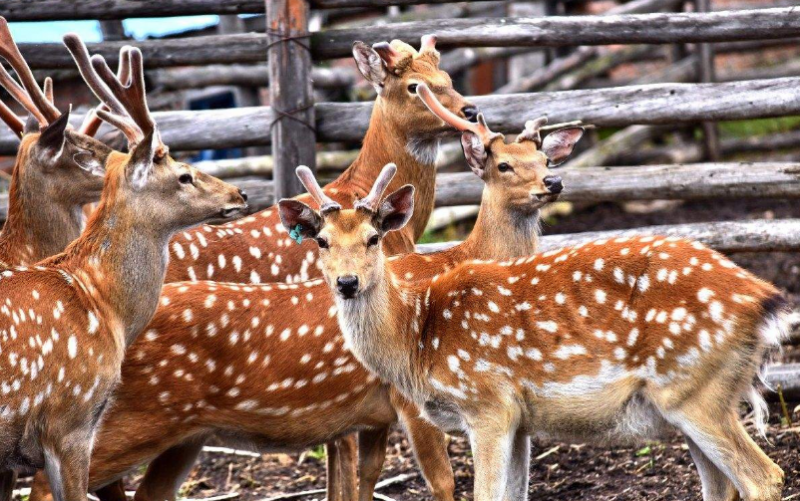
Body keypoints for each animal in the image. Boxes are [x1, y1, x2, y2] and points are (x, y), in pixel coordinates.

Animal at [28, 89, 580, 500]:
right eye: (502, 164)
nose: (553, 182)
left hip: (181, 436)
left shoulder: (372, 416)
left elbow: (361, 481)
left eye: (543, 156)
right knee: (46, 482)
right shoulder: (408, 400)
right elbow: (443, 485)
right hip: (113, 419)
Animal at [282, 164, 788, 500]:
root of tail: (766, 299)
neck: (417, 339)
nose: (347, 282)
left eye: (374, 238)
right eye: (322, 241)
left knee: (765, 478)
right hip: (695, 399)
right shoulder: (521, 420)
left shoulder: (487, 403)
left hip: (695, 389)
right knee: (722, 485)